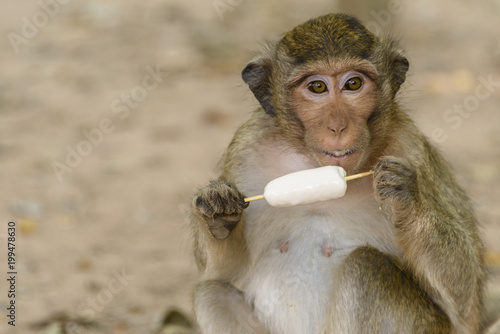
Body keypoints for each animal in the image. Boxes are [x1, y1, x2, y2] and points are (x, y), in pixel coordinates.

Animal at [190, 13, 484, 334]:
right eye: (317, 87)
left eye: (353, 83)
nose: (338, 126)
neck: (314, 165)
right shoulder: (245, 146)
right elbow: (221, 270)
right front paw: (220, 208)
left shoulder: (411, 148)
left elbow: (464, 301)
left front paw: (405, 195)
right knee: (211, 292)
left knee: (365, 267)